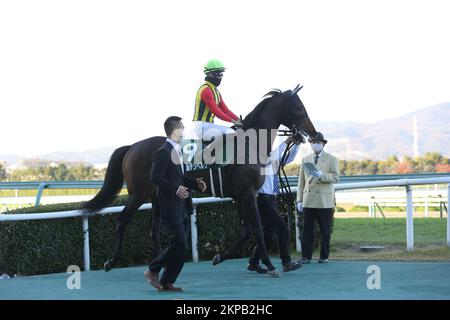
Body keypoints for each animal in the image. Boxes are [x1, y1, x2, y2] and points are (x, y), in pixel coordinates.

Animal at [82, 84, 318, 276]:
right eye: (299, 107)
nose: (313, 132)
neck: (249, 144)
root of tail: (132, 147)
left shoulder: (240, 195)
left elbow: (248, 230)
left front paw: (221, 257)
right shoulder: (247, 193)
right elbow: (258, 229)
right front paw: (269, 265)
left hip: (158, 194)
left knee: (154, 230)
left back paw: (158, 262)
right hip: (138, 194)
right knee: (122, 222)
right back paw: (112, 262)